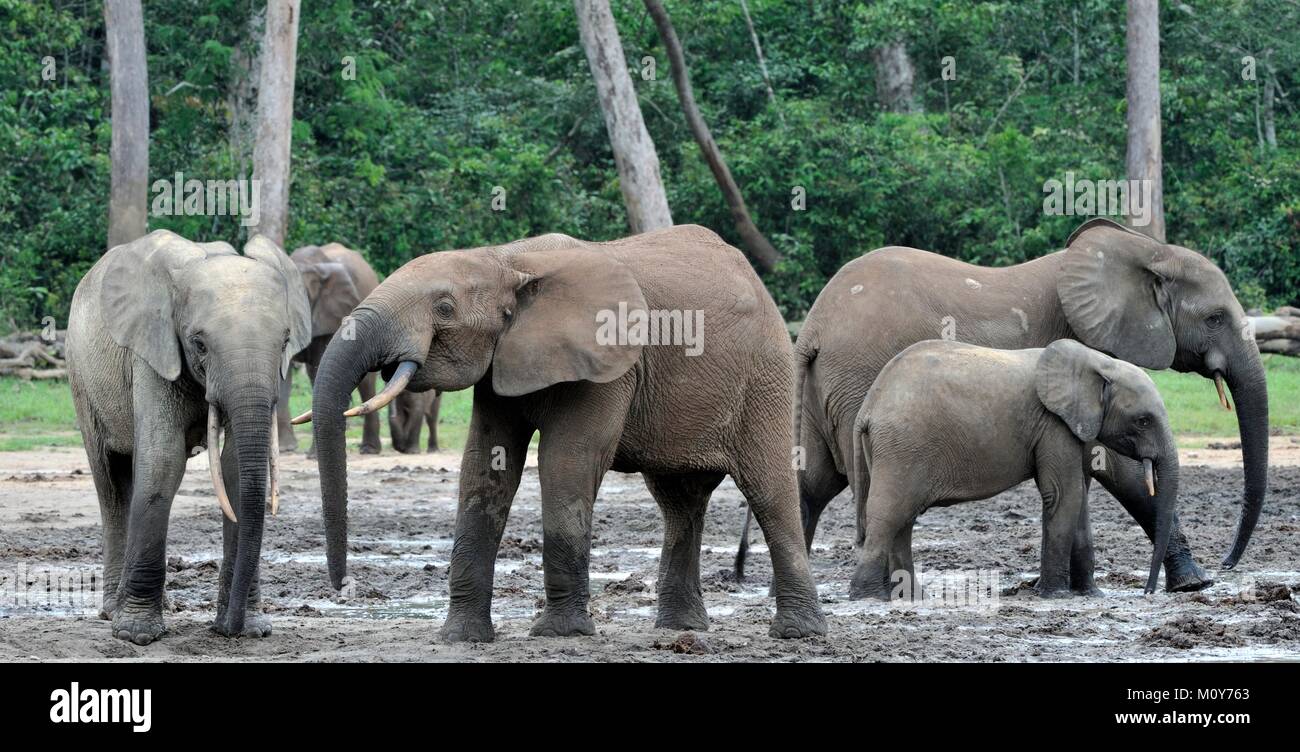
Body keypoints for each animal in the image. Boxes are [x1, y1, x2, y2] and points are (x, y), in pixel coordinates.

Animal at [66, 230, 311, 644]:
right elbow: (163, 461)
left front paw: (252, 629)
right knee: (111, 481)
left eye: (284, 342)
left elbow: (235, 469)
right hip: (81, 377)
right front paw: (137, 635)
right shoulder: (152, 351)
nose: (230, 630)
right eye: (199, 343)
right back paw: (113, 612)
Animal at [274, 242, 382, 454]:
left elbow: (318, 370)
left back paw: (369, 449)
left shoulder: (328, 316)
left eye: (302, 297)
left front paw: (313, 455)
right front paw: (286, 448)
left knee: (367, 383)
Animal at [295, 225, 827, 641]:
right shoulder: (500, 361)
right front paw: (461, 638)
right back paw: (681, 629)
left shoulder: (610, 361)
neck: (507, 259)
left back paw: (797, 633)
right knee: (680, 503)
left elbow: (566, 461)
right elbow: (484, 467)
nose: (341, 588)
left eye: (443, 307)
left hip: (765, 377)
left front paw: (559, 633)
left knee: (768, 489)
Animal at [848, 339, 1177, 600]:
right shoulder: (1054, 424)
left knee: (903, 519)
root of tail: (869, 406)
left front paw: (1090, 595)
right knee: (889, 514)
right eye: (1143, 421)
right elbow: (1064, 494)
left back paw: (912, 598)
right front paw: (1055, 595)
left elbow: (1079, 500)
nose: (1148, 592)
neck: (1098, 363)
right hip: (903, 445)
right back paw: (869, 597)